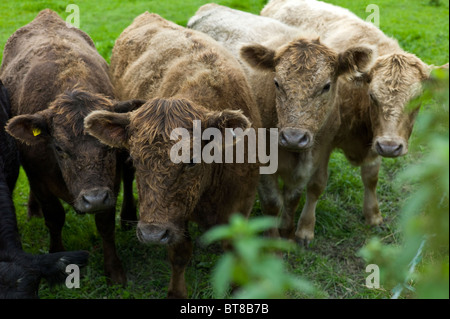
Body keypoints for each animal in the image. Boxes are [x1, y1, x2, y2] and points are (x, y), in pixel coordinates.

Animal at [0, 9, 141, 284]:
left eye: (108, 147)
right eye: (59, 149)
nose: (93, 199)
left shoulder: (111, 182)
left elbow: (105, 223)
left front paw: (114, 270)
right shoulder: (39, 179)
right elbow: (55, 218)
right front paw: (57, 259)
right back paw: (33, 210)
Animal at [83, 11, 262, 298]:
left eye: (191, 160)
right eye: (135, 158)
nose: (152, 234)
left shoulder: (241, 202)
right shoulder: (176, 219)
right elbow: (179, 254)